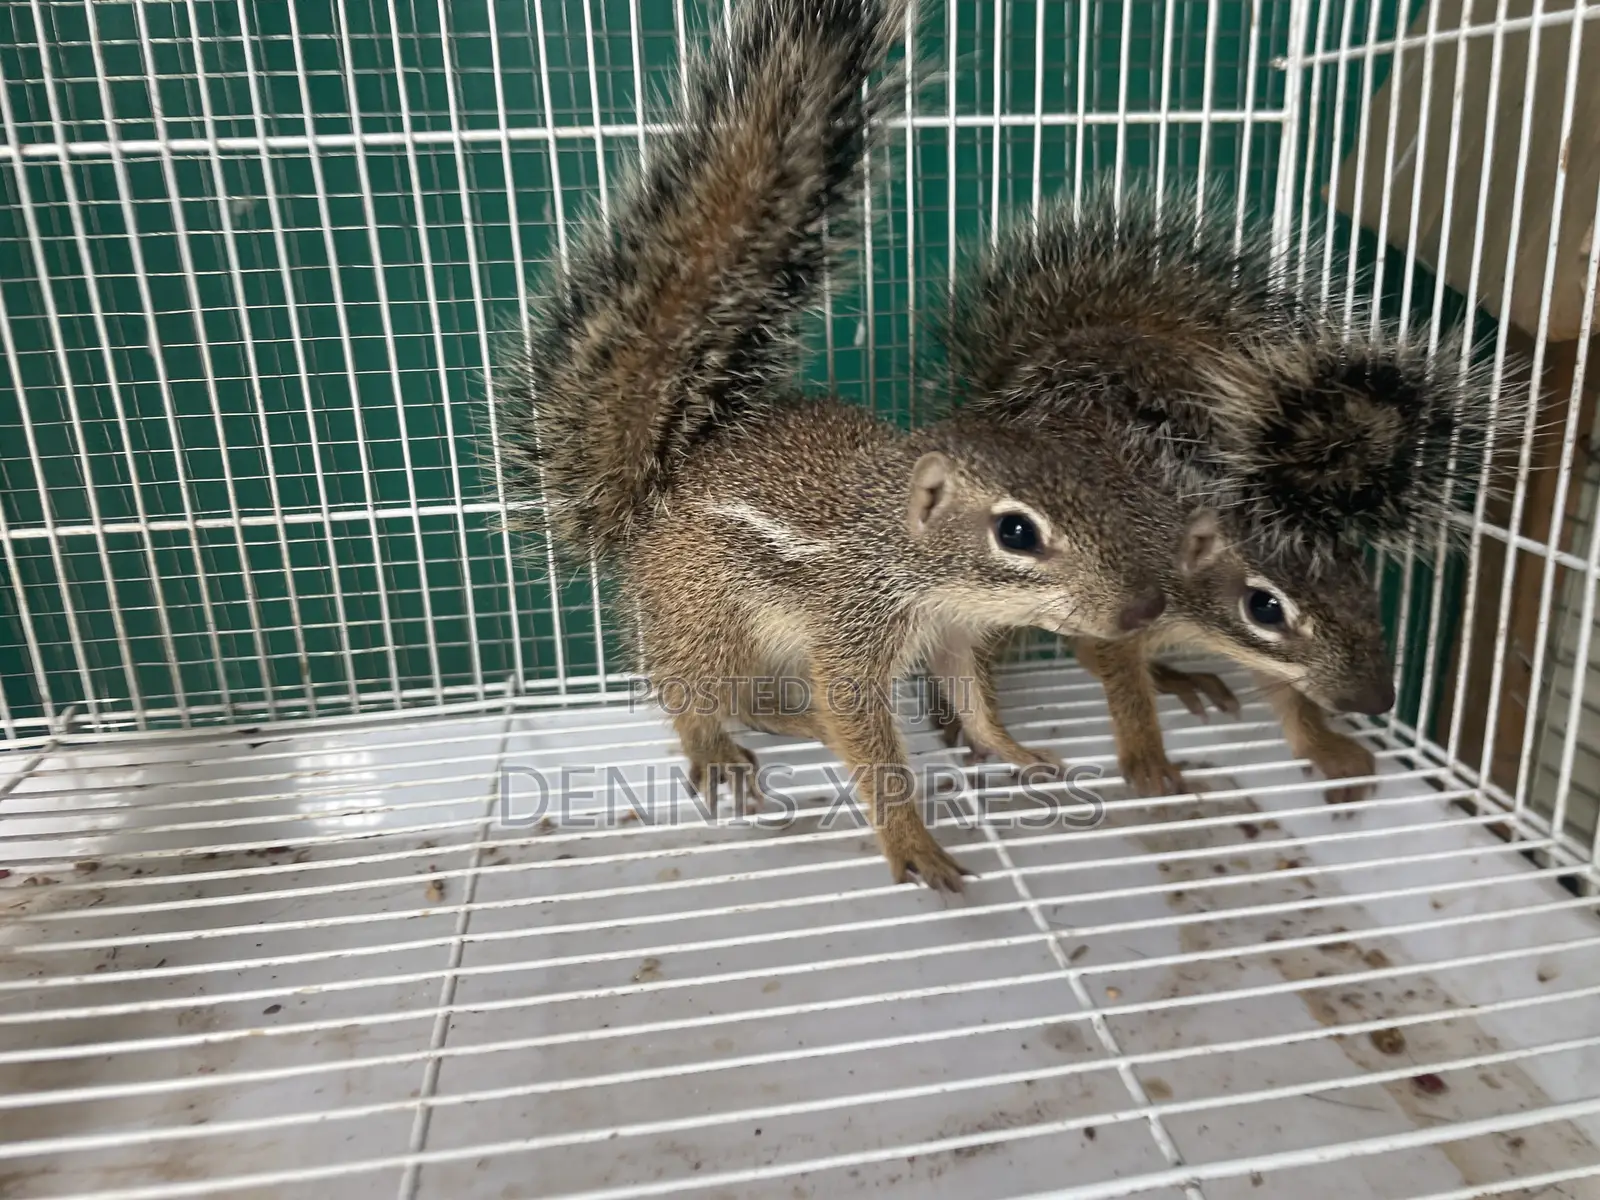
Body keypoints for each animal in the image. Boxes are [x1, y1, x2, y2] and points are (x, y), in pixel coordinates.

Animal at [495, 0, 1171, 890]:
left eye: (1098, 488)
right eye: (1016, 531)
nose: (1143, 608)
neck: (908, 554)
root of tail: (658, 492)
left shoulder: (952, 635)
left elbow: (971, 698)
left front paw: (1014, 749)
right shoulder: (852, 630)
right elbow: (863, 731)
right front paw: (911, 839)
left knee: (761, 701)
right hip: (710, 617)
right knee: (699, 693)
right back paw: (717, 746)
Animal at [923, 183, 1512, 802]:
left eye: (1365, 585)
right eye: (1264, 607)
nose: (1375, 700)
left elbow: (1286, 690)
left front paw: (1325, 746)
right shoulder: (1123, 601)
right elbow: (1119, 675)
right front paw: (1148, 759)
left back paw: (1177, 677)